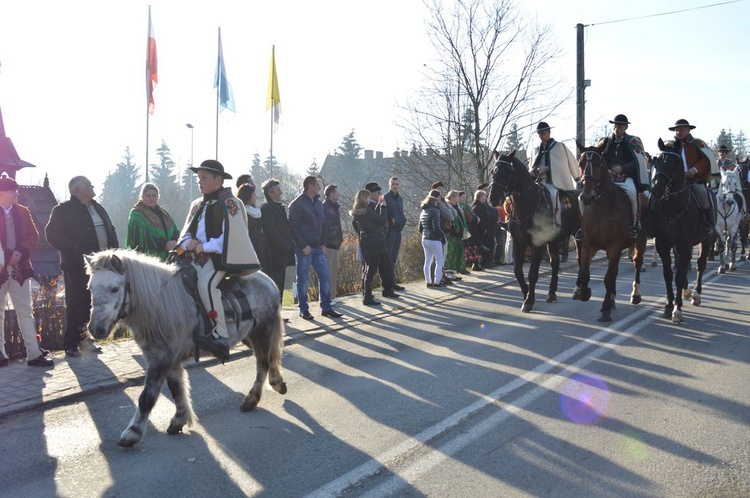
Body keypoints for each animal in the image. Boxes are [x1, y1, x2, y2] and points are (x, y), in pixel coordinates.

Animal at [86, 249, 288, 448]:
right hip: (249, 336)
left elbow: (147, 397)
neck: (161, 304)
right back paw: (273, 384)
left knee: (263, 363)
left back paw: (251, 399)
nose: (95, 329)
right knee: (268, 359)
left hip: (263, 332)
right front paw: (179, 420)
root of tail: (267, 280)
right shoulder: (169, 359)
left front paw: (132, 433)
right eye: (90, 288)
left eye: (114, 288)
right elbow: (176, 389)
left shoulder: (160, 359)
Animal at [488, 151, 580, 312]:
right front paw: (527, 295)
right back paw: (551, 293)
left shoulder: (537, 244)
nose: (492, 198)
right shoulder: (518, 242)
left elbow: (532, 273)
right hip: (554, 241)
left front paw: (529, 300)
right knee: (555, 261)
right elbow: (518, 271)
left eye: (507, 171)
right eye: (493, 171)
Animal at [572, 143, 648, 322]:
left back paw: (635, 295)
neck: (600, 208)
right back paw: (613, 300)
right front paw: (584, 293)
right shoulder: (588, 245)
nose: (587, 197)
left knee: (637, 263)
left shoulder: (614, 246)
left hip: (640, 241)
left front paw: (605, 309)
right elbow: (584, 272)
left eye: (599, 164)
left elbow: (608, 277)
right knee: (615, 271)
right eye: (580, 163)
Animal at [652, 139, 716, 322]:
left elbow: (679, 277)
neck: (672, 208)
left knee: (700, 264)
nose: (657, 189)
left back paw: (696, 294)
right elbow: (668, 275)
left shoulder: (686, 243)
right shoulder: (663, 244)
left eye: (674, 163)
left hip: (706, 240)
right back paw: (687, 291)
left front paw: (677, 309)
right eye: (657, 161)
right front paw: (668, 305)